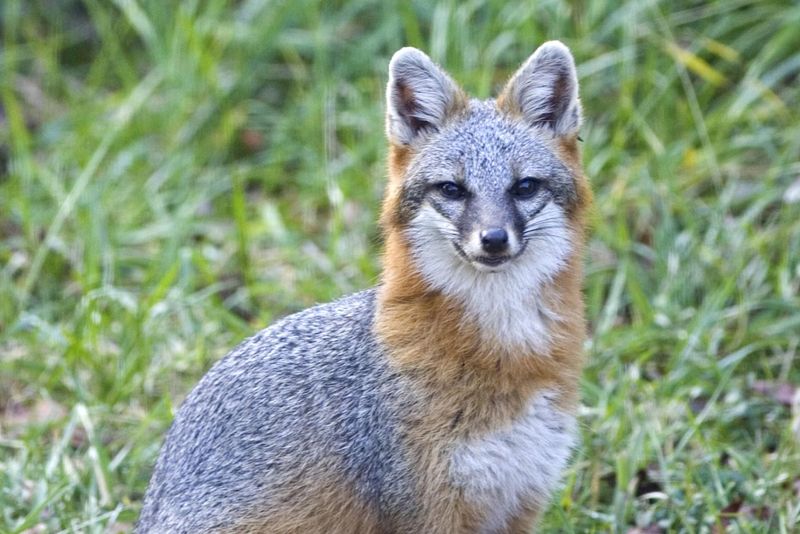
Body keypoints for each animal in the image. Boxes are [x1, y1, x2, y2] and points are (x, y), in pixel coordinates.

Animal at [136, 42, 588, 534]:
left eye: (524, 187)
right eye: (452, 189)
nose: (493, 239)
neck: (506, 353)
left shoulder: (521, 497)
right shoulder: (427, 509)